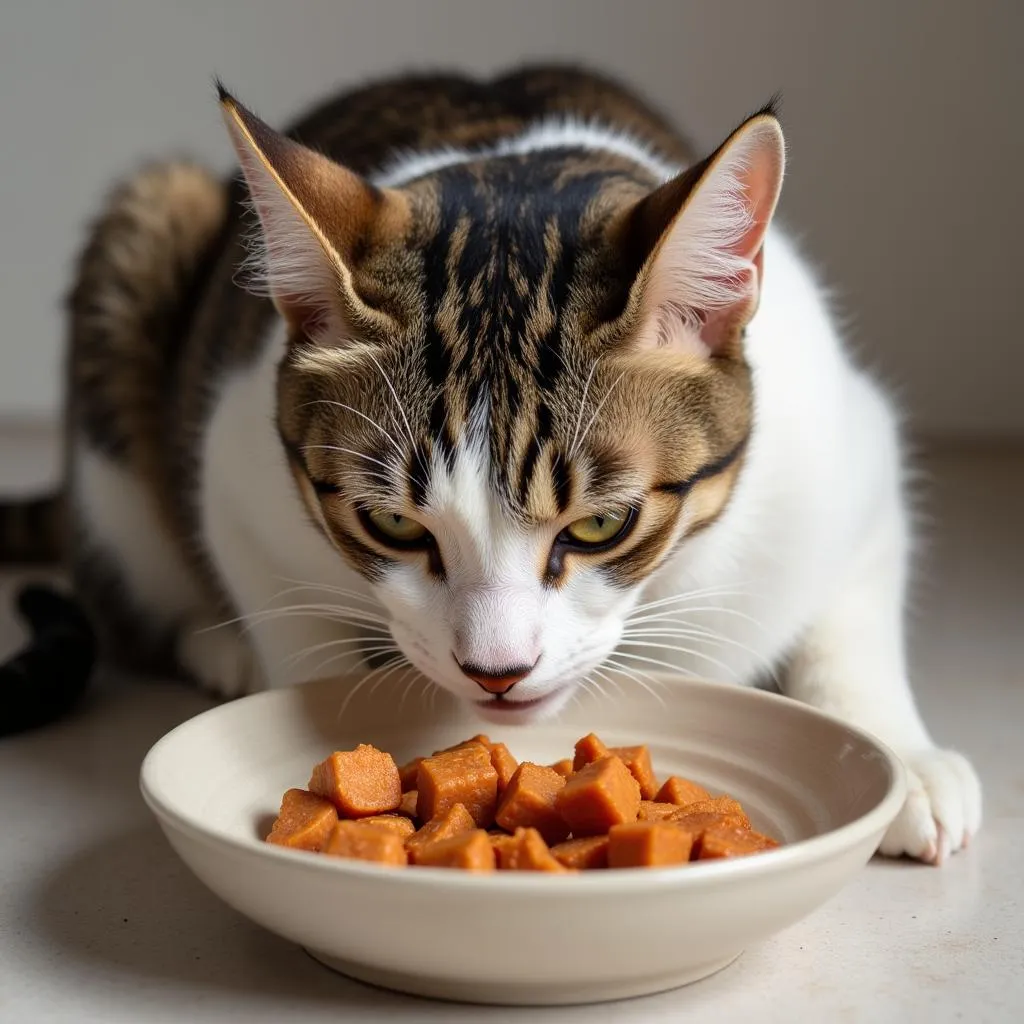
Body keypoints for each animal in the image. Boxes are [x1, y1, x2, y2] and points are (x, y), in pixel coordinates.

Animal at [0, 66, 974, 864]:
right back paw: (217, 645)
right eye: (392, 522)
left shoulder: (847, 452)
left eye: (601, 524)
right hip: (150, 232)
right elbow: (293, 619)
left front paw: (903, 757)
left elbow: (851, 611)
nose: (495, 674)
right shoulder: (234, 472)